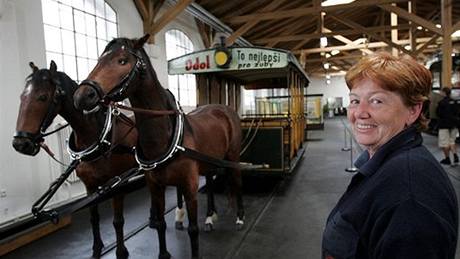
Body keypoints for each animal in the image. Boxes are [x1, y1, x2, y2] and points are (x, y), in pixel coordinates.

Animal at [12, 61, 137, 259]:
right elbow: (94, 218)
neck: (100, 137)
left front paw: (121, 252)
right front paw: (96, 248)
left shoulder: (117, 185)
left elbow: (118, 221)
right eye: (22, 96)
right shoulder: (90, 186)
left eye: (42, 97)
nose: (20, 144)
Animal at [73, 35, 244, 259]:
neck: (165, 137)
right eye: (99, 59)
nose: (82, 96)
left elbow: (193, 230)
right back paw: (209, 217)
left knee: (237, 181)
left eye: (122, 61)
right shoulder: (155, 186)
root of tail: (224, 109)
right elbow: (161, 224)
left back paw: (239, 217)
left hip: (232, 156)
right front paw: (164, 253)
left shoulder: (189, 186)